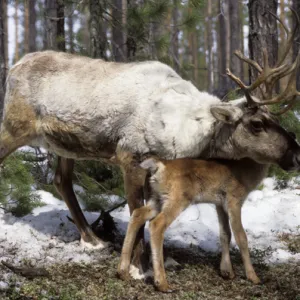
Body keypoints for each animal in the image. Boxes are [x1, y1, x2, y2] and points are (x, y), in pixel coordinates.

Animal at [117, 158, 268, 292]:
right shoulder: (234, 199)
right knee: (157, 224)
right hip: (176, 198)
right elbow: (241, 236)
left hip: (155, 199)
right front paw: (254, 277)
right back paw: (163, 284)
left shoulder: (219, 204)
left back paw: (122, 272)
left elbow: (225, 233)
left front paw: (227, 272)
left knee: (137, 214)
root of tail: (159, 166)